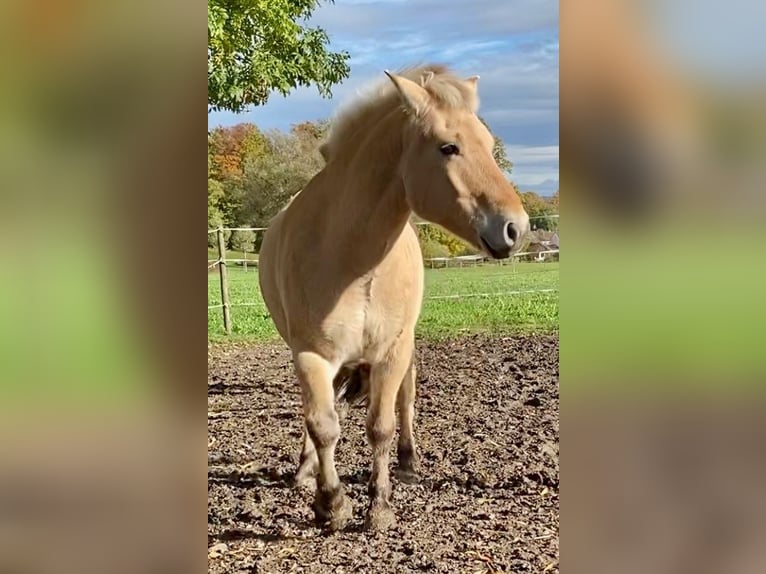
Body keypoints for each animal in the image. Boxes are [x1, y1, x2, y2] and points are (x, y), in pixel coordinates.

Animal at [260, 65, 532, 532]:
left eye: (488, 143)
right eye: (448, 147)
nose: (516, 227)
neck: (353, 262)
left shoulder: (392, 351)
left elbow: (381, 426)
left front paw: (380, 506)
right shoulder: (310, 355)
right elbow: (322, 423)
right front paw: (331, 502)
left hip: (405, 350)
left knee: (405, 399)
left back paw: (407, 462)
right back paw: (306, 468)